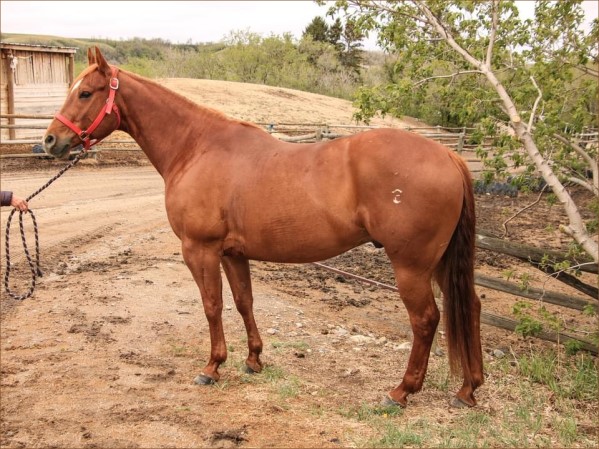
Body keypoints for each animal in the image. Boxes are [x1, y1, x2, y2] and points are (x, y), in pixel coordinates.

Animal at [43, 48, 482, 406]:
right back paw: (468, 390)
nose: (50, 141)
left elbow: (212, 305)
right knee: (469, 307)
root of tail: (449, 156)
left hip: (411, 266)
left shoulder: (199, 249)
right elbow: (243, 302)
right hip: (439, 263)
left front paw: (212, 367)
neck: (196, 147)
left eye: (86, 93)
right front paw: (253, 359)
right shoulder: (232, 253)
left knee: (425, 320)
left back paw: (401, 392)